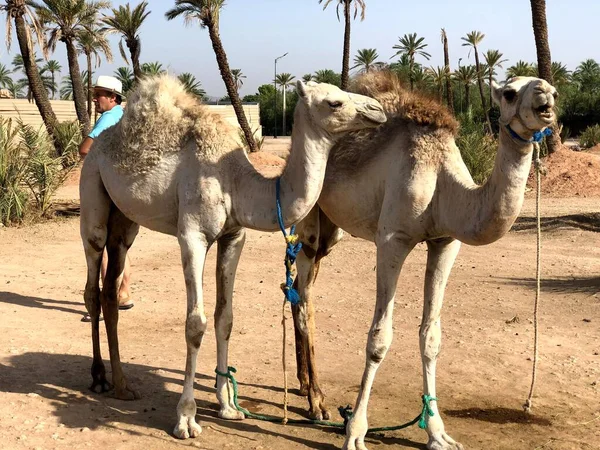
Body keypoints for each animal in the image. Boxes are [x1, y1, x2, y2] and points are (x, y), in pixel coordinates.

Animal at [78, 74, 384, 440]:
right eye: (334, 102)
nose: (378, 110)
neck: (234, 179)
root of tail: (96, 145)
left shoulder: (234, 236)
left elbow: (225, 318)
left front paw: (227, 406)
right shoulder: (192, 236)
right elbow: (195, 324)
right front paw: (186, 418)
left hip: (125, 221)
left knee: (110, 288)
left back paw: (123, 386)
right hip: (92, 193)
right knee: (92, 283)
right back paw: (98, 378)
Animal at [290, 72, 556, 448]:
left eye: (553, 89)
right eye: (509, 93)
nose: (545, 96)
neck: (441, 178)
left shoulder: (445, 242)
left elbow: (431, 338)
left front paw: (438, 433)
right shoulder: (392, 240)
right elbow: (379, 339)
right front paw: (355, 431)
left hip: (332, 227)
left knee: (296, 288)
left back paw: (304, 388)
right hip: (310, 216)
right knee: (304, 298)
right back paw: (317, 402)